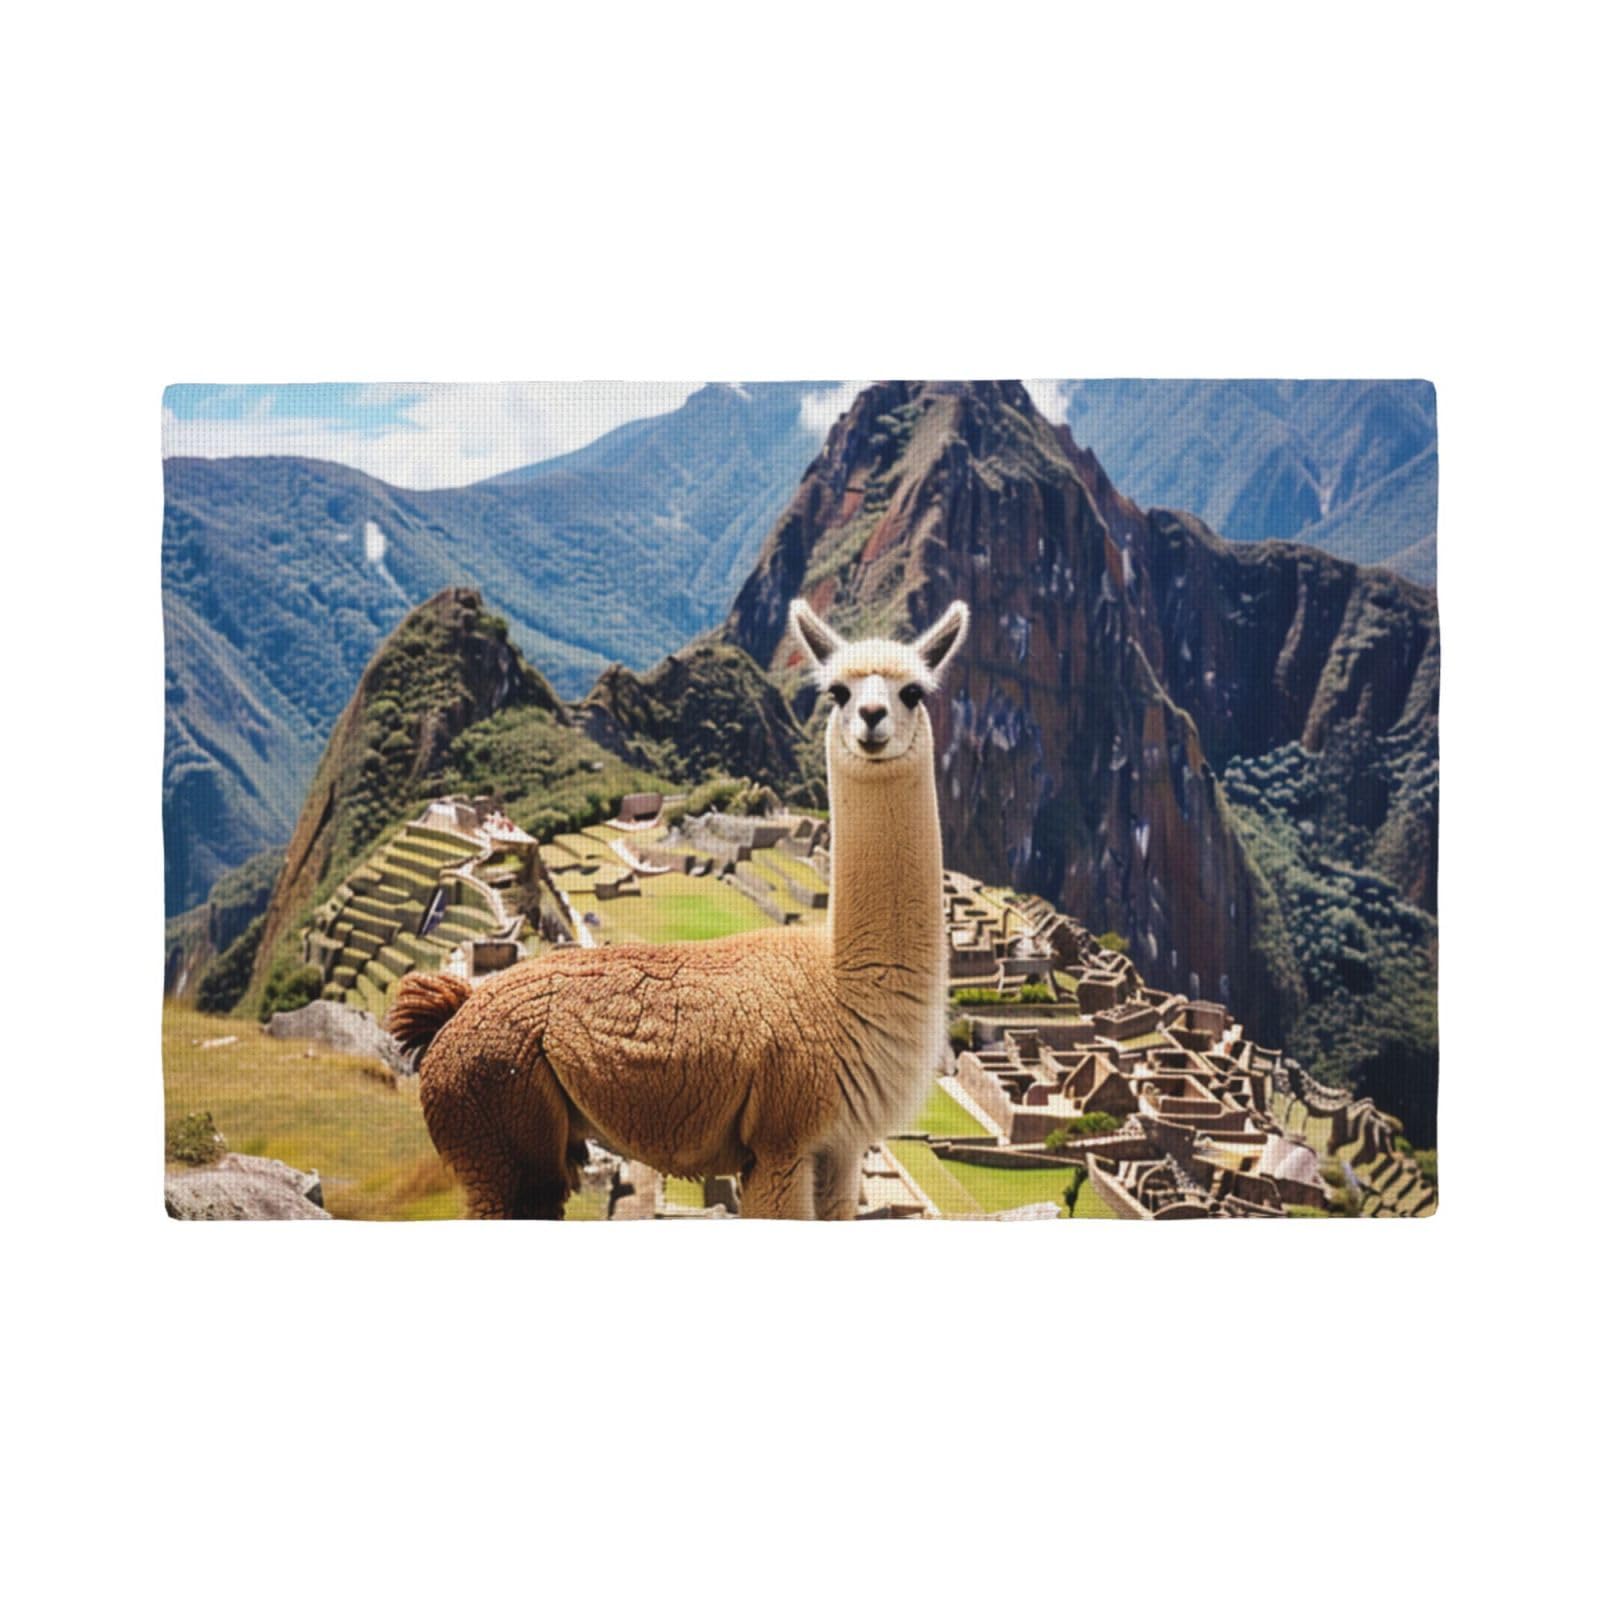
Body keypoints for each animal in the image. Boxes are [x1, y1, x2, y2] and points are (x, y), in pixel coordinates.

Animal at [386, 598, 969, 1218]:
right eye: (837, 692)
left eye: (914, 691)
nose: (872, 717)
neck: (843, 990)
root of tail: (459, 1006)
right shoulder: (781, 1141)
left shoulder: (840, 1146)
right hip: (494, 1122)